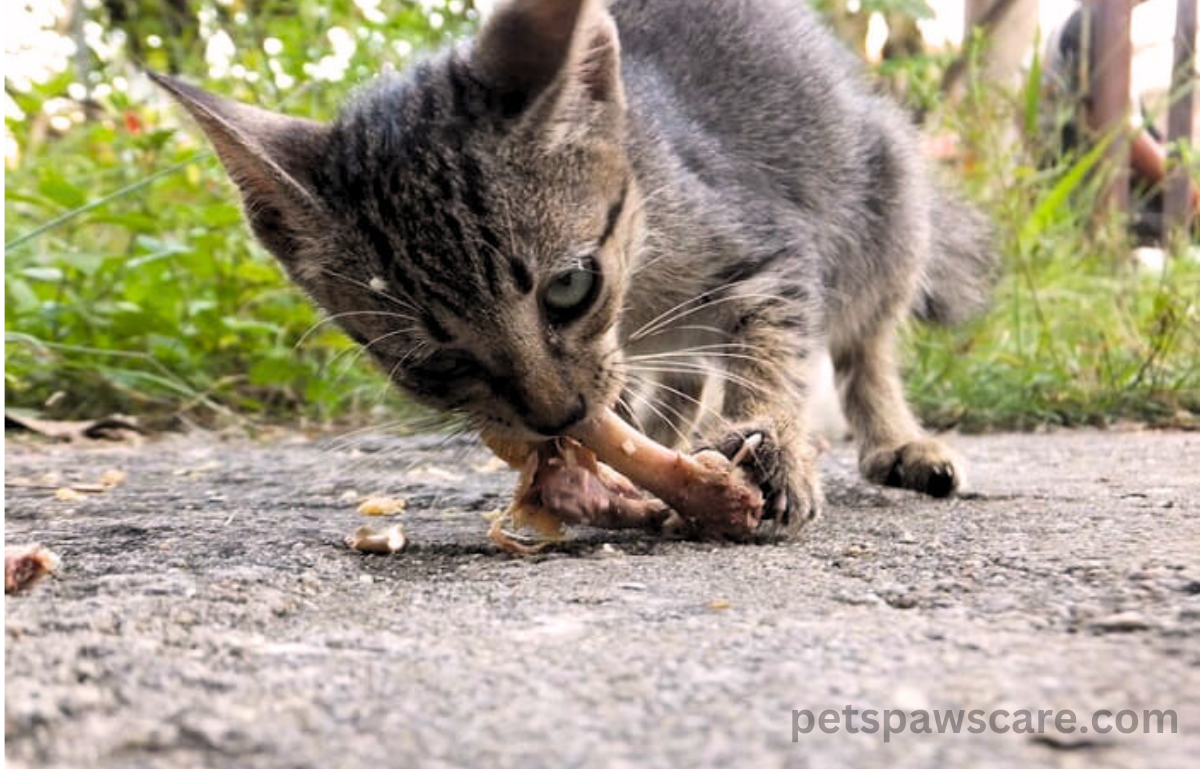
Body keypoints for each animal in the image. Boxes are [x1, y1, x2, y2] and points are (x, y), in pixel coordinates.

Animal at [150, 0, 993, 532]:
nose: (557, 417)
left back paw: (897, 440)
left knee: (864, 343)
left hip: (887, 200)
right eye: (432, 361)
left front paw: (772, 442)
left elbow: (770, 347)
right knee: (686, 372)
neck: (639, 288)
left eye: (569, 287)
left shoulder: (765, 247)